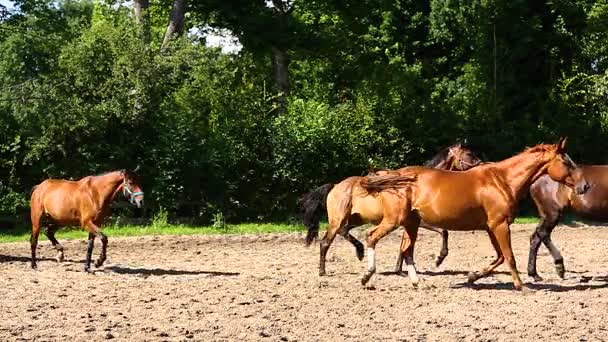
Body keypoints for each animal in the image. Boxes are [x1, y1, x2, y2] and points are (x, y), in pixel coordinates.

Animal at [298, 140, 480, 276]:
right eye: (469, 154)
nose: (480, 164)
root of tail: (335, 186)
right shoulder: (419, 220)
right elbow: (443, 231)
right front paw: (439, 258)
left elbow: (405, 244)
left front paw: (400, 269)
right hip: (338, 220)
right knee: (325, 242)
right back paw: (322, 271)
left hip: (355, 219)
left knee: (344, 232)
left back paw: (360, 251)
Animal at [358, 138, 588, 290]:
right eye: (566, 162)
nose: (585, 186)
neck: (502, 180)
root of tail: (396, 175)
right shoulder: (499, 225)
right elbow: (509, 256)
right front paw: (520, 286)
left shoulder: (491, 227)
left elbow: (500, 257)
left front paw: (472, 276)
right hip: (394, 220)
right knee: (372, 237)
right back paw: (367, 277)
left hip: (410, 223)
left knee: (406, 250)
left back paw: (416, 282)